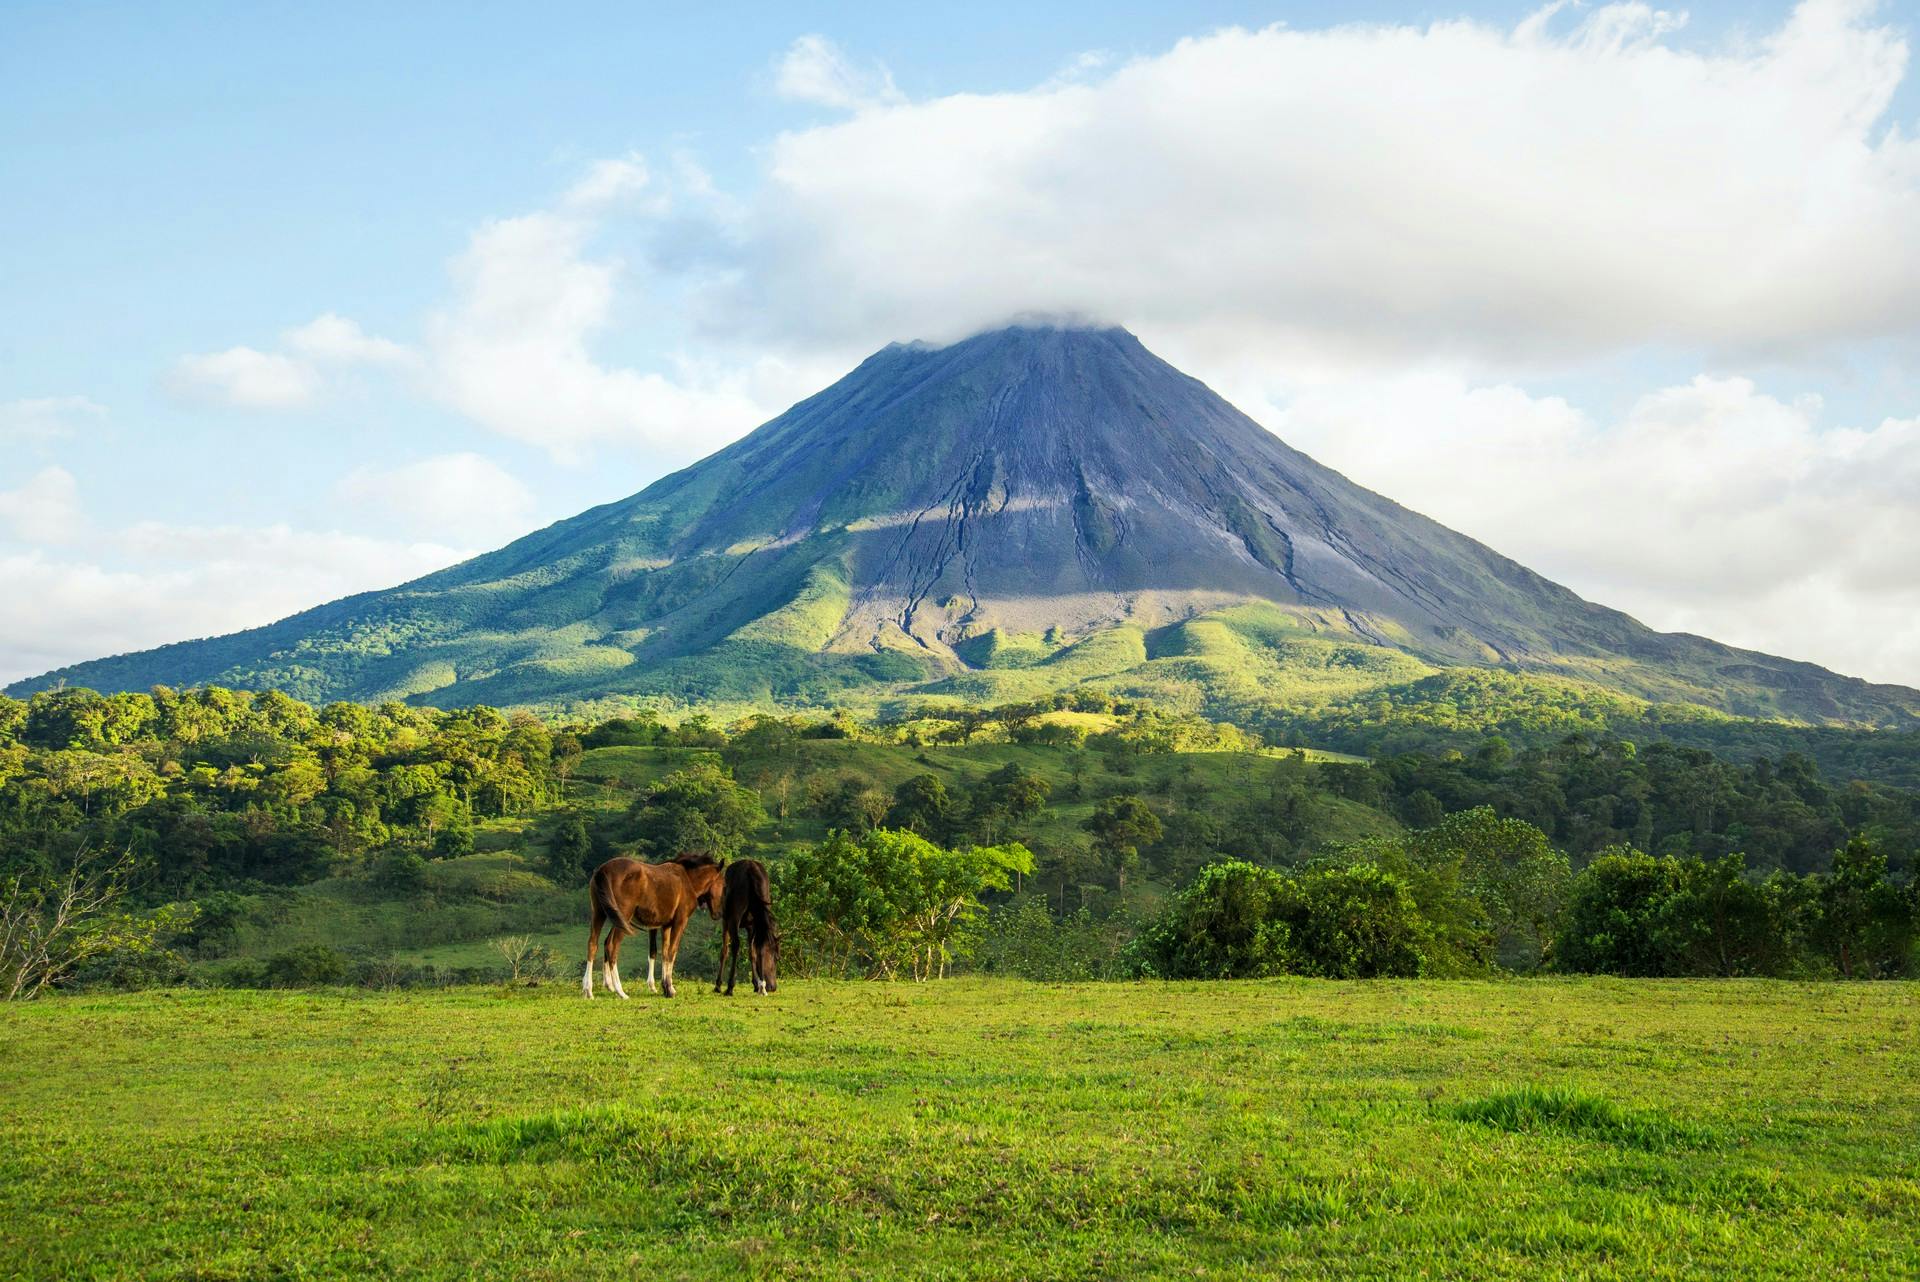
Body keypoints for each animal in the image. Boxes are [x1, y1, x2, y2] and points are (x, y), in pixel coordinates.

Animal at [579, 852, 721, 997]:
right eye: (722, 882)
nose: (718, 913)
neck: (686, 879)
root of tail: (603, 870)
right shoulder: (680, 922)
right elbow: (672, 952)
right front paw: (669, 989)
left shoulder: (665, 925)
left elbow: (662, 953)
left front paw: (664, 986)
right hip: (622, 917)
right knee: (612, 946)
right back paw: (620, 991)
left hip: (600, 914)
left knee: (593, 944)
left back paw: (589, 989)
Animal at [714, 855, 779, 997]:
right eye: (775, 958)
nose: (773, 987)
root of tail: (751, 869)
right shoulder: (751, 925)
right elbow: (752, 952)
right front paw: (757, 984)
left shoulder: (726, 921)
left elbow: (724, 951)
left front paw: (718, 984)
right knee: (757, 946)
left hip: (734, 918)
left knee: (735, 946)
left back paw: (730, 987)